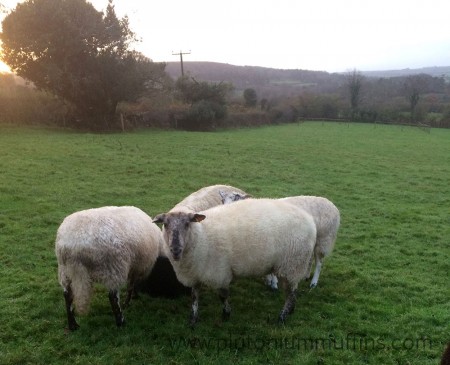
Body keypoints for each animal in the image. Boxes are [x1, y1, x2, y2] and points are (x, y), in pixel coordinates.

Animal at [155, 198, 316, 326]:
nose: (175, 249)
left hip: (293, 264)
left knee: (290, 293)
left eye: (187, 224)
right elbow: (194, 297)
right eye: (166, 224)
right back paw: (291, 311)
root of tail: (310, 220)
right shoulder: (195, 273)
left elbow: (223, 296)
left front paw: (226, 314)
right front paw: (193, 319)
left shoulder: (219, 273)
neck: (201, 235)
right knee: (293, 291)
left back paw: (282, 317)